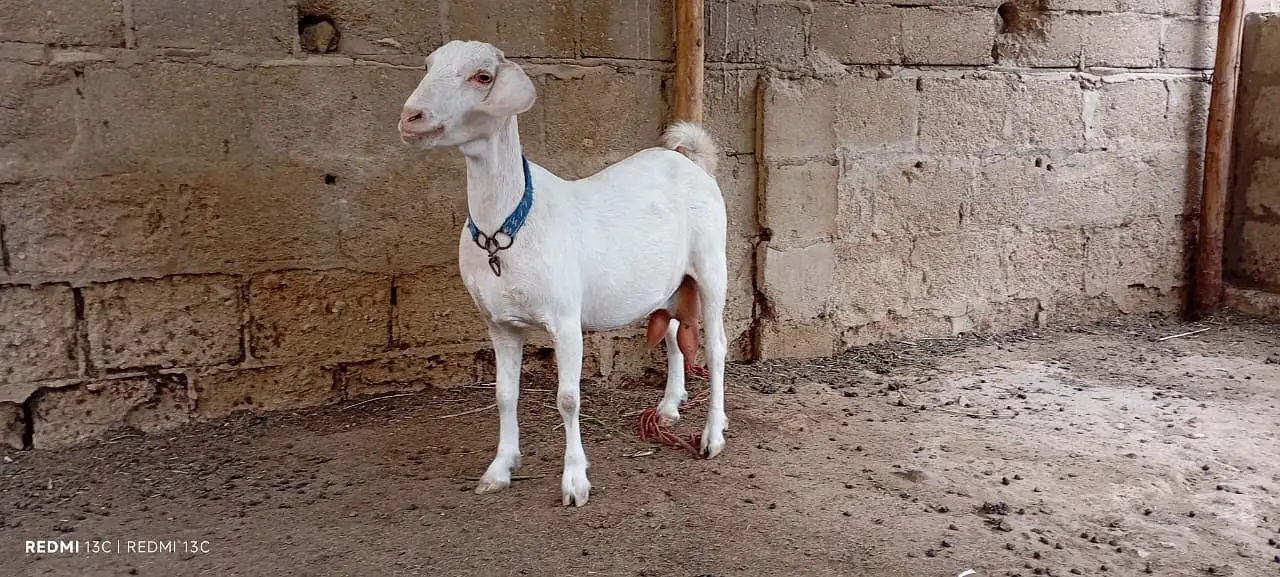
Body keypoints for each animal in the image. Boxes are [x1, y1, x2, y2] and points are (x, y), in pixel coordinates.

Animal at [398, 40, 729, 507]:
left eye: (483, 76)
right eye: (428, 65)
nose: (411, 117)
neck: (505, 229)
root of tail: (691, 161)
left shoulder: (566, 319)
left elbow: (568, 399)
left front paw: (575, 481)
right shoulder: (499, 323)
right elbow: (504, 394)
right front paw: (500, 468)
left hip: (712, 264)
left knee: (716, 347)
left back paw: (713, 435)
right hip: (666, 283)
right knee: (672, 335)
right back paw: (667, 408)